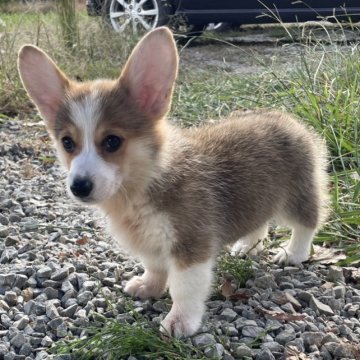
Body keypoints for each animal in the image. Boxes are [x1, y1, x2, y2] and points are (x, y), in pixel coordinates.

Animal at [18, 27, 328, 338]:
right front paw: (148, 286)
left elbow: (184, 288)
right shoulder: (151, 244)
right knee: (259, 221)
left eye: (112, 141)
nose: (79, 187)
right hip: (258, 196)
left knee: (308, 222)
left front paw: (180, 321)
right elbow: (154, 268)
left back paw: (292, 254)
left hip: (297, 195)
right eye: (67, 143)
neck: (142, 184)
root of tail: (287, 118)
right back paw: (247, 247)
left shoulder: (191, 245)